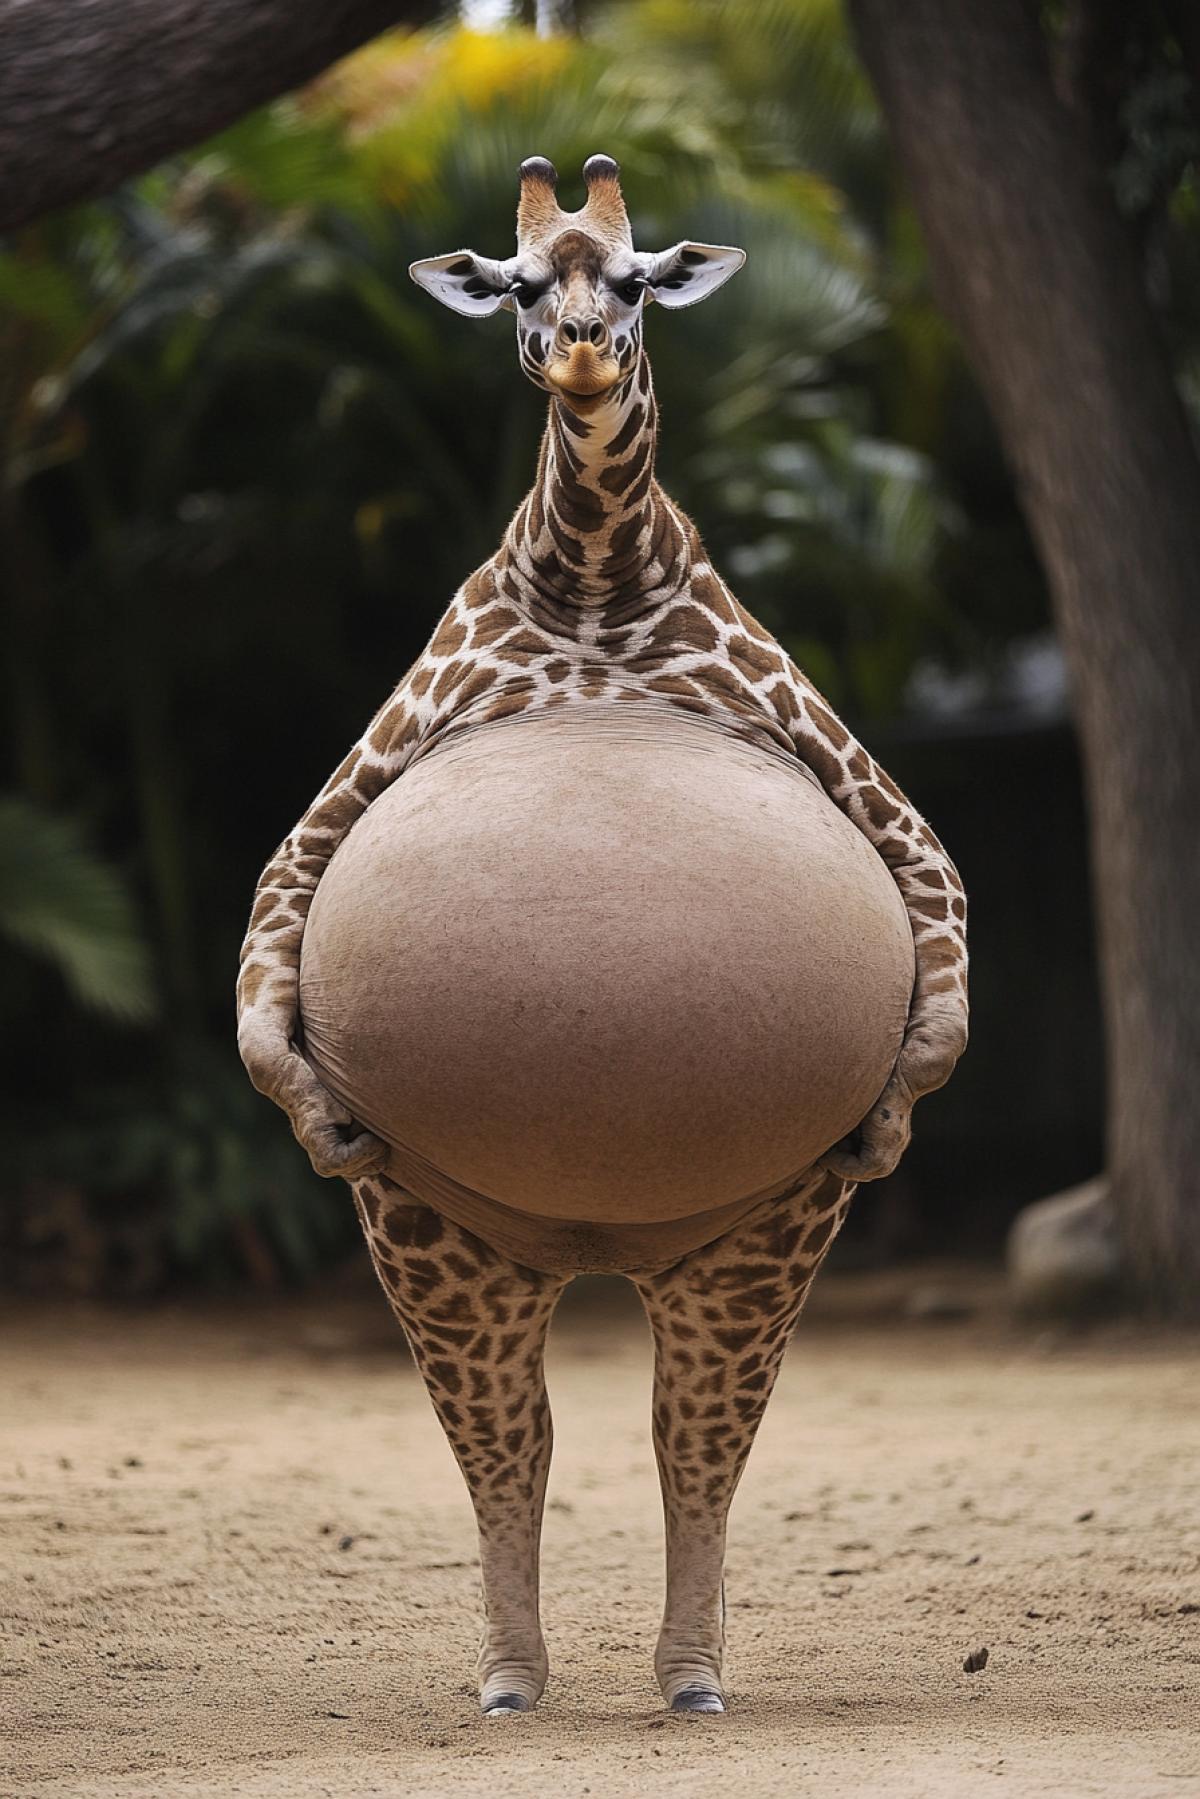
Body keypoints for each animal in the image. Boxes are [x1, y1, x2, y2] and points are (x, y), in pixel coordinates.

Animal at [237, 155, 968, 1717]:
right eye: (519, 284)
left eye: (632, 282)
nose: (577, 346)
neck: (591, 579)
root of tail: (590, 1245)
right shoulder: (329, 818)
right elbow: (269, 966)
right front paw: (316, 1117)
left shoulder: (888, 812)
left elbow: (938, 987)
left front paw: (889, 1119)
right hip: (432, 1232)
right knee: (514, 1446)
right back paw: (514, 1678)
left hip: (761, 1233)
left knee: (691, 1443)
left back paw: (690, 1676)